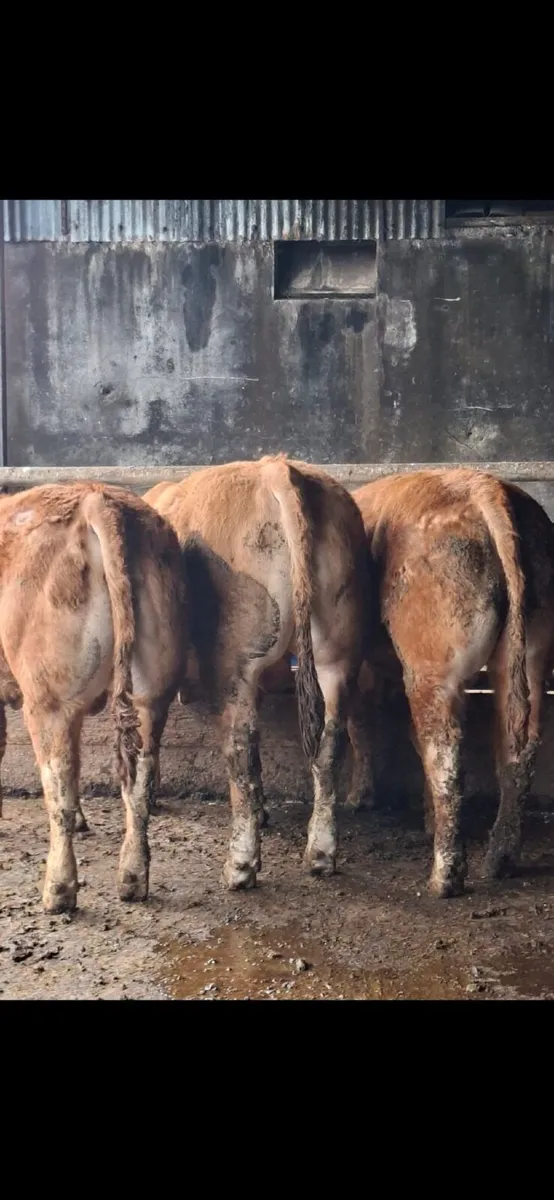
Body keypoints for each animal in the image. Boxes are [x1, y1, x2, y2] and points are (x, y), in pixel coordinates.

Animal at [0, 483, 186, 912]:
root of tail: (96, 497)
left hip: (47, 701)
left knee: (58, 788)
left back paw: (58, 889)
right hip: (152, 693)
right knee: (140, 782)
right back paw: (132, 879)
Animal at [144, 454, 370, 890]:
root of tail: (276, 469)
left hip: (235, 662)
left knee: (241, 749)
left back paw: (241, 865)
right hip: (338, 650)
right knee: (329, 745)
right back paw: (320, 854)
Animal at [347, 468, 554, 898]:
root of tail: (484, 487)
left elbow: (358, 724)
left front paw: (358, 798)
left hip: (432, 658)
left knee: (445, 751)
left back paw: (444, 878)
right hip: (533, 645)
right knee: (519, 746)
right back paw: (498, 861)